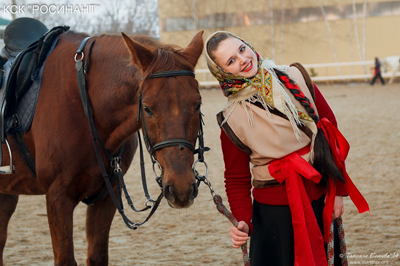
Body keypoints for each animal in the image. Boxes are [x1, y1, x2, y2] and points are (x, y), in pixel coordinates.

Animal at [0, 29, 203, 266]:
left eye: (197, 105)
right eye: (147, 108)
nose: (181, 188)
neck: (85, 105)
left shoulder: (107, 197)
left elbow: (97, 256)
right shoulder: (58, 198)